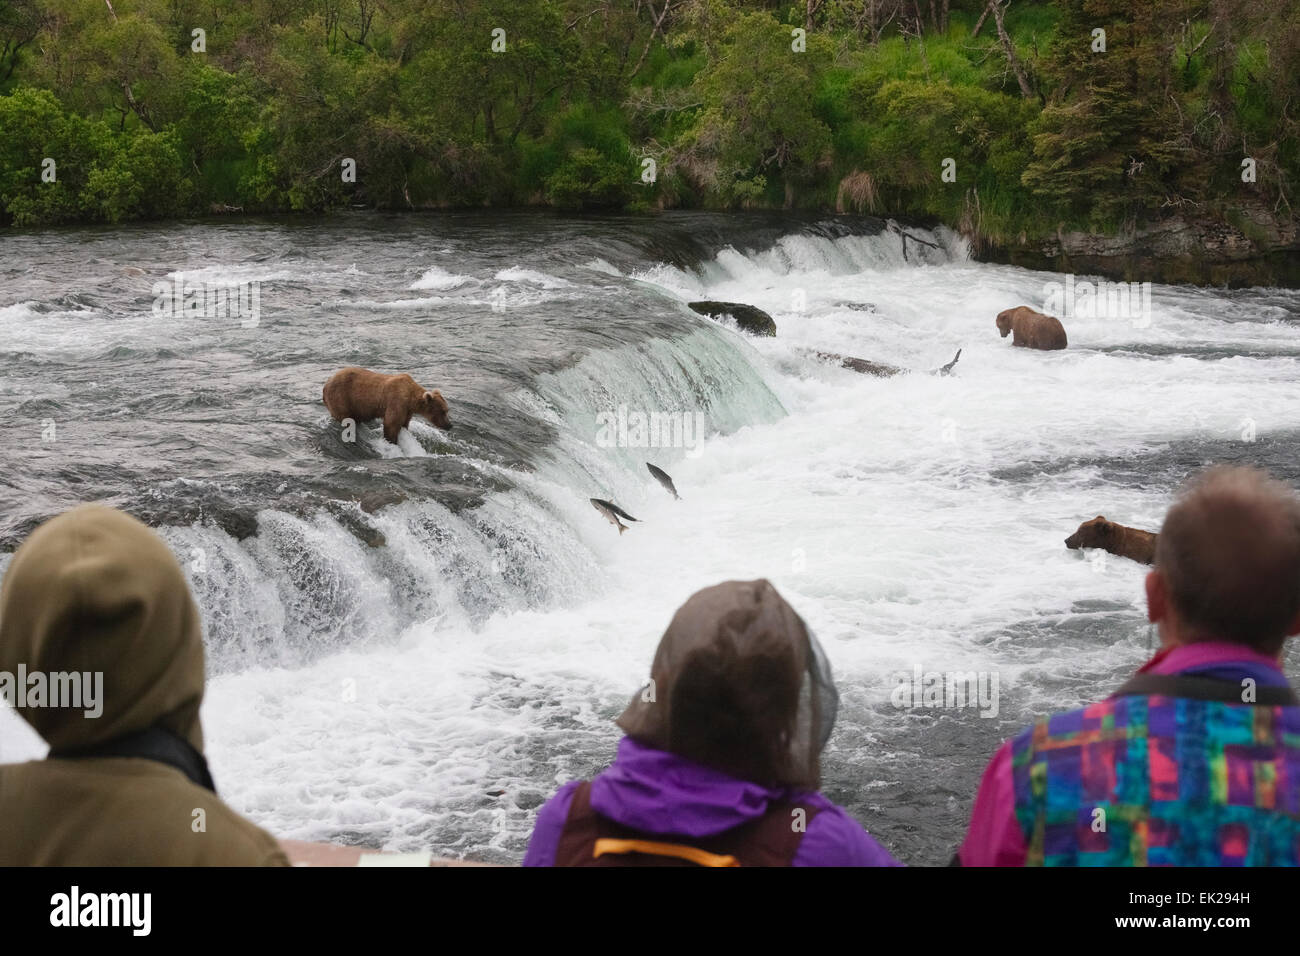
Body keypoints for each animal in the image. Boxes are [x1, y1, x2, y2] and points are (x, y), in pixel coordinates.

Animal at [321, 366, 452, 444]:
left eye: (447, 410)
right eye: (443, 411)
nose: (449, 425)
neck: (410, 399)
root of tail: (326, 384)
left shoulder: (407, 410)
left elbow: (404, 423)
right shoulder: (396, 402)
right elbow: (391, 424)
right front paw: (392, 441)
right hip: (341, 397)